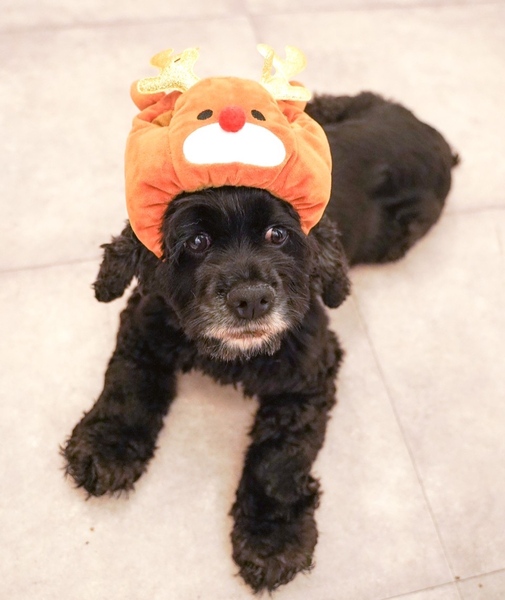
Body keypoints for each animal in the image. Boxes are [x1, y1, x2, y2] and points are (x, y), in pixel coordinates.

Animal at [62, 91, 458, 593]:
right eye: (197, 241)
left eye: (277, 234)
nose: (251, 298)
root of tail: (427, 131)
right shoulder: (147, 322)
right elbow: (128, 383)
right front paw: (106, 446)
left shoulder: (310, 374)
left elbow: (279, 460)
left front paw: (272, 540)